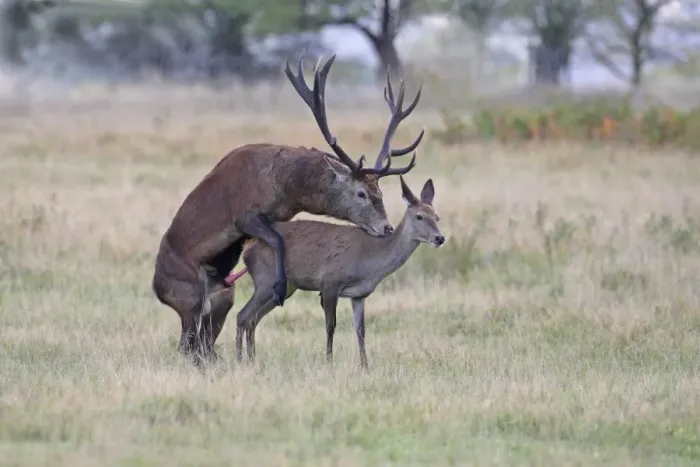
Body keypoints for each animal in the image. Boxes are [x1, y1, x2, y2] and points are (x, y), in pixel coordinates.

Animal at [151, 53, 425, 366]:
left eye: (380, 190)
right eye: (361, 193)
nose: (387, 227)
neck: (287, 186)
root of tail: (156, 288)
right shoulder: (245, 215)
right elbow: (277, 240)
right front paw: (280, 287)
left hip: (222, 295)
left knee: (205, 340)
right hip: (188, 295)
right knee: (187, 344)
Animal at [233, 175, 445, 370]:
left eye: (437, 217)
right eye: (419, 216)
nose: (439, 238)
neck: (370, 261)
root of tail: (247, 249)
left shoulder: (359, 295)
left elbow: (360, 329)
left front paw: (365, 366)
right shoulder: (330, 282)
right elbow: (330, 325)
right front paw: (329, 363)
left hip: (284, 288)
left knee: (253, 319)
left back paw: (252, 360)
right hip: (265, 280)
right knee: (242, 316)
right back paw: (239, 360)